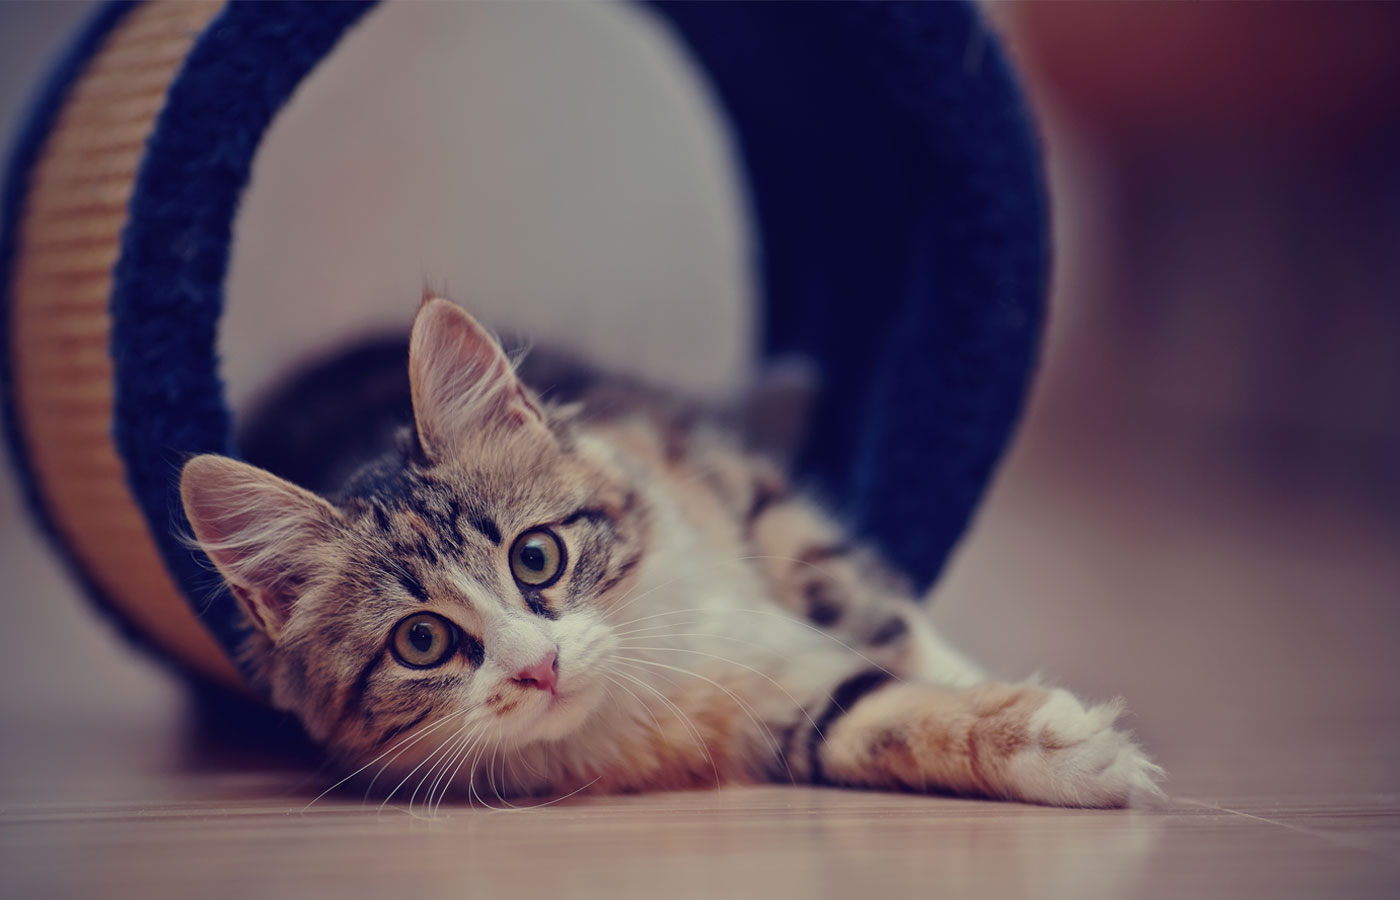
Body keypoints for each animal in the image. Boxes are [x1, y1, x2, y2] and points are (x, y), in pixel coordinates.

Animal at [180, 295, 1164, 811]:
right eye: (421, 641)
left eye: (535, 559)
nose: (538, 668)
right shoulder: (779, 716)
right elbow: (874, 716)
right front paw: (1071, 750)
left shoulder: (744, 495)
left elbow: (882, 622)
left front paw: (1008, 693)